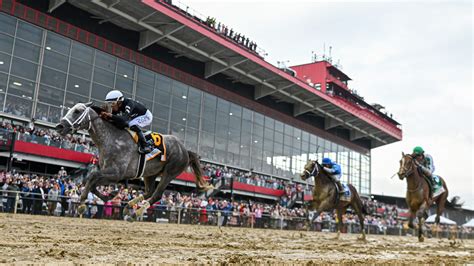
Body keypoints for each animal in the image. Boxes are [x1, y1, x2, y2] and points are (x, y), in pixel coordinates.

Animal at [55, 103, 211, 217]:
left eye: (77, 111)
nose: (59, 126)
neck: (111, 139)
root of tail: (185, 150)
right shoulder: (111, 174)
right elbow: (91, 182)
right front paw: (109, 196)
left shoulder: (116, 173)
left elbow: (92, 176)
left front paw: (82, 203)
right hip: (150, 173)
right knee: (149, 191)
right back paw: (129, 206)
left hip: (170, 172)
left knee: (157, 194)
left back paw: (137, 212)